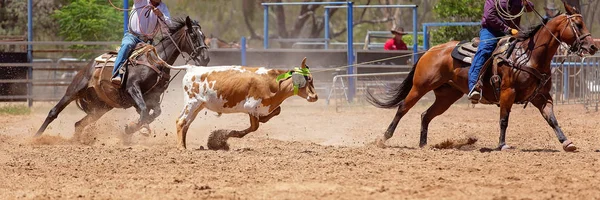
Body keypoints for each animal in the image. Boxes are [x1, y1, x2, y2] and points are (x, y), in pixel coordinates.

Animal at [35, 16, 210, 138]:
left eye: (204, 36)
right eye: (193, 35)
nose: (205, 59)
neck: (154, 60)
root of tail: (88, 65)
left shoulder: (152, 97)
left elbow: (152, 114)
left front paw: (131, 130)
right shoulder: (133, 88)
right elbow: (144, 112)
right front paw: (131, 129)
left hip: (101, 107)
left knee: (79, 124)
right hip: (74, 90)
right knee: (53, 112)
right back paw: (36, 138)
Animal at [172, 57, 316, 149]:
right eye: (307, 79)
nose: (314, 96)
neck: (271, 83)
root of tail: (191, 68)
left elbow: (276, 111)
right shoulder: (251, 107)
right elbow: (254, 127)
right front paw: (223, 137)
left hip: (198, 106)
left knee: (186, 123)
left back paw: (184, 145)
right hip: (192, 103)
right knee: (181, 121)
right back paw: (181, 148)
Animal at [368, 2, 596, 152]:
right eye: (578, 25)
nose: (592, 46)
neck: (529, 56)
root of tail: (431, 50)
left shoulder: (542, 97)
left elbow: (552, 119)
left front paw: (567, 142)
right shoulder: (507, 92)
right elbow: (504, 119)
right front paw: (502, 144)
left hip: (446, 96)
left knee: (426, 115)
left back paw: (424, 145)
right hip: (420, 87)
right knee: (402, 108)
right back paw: (384, 138)